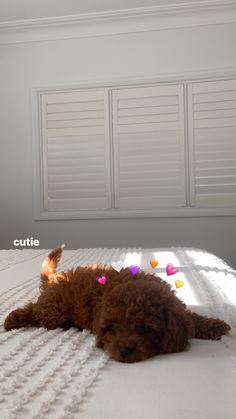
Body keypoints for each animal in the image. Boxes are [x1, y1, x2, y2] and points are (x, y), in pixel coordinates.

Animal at [3, 246, 230, 364]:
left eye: (145, 328)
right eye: (112, 327)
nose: (124, 352)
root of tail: (55, 279)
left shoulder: (177, 310)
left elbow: (192, 318)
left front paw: (215, 325)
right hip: (54, 311)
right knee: (35, 309)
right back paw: (13, 319)